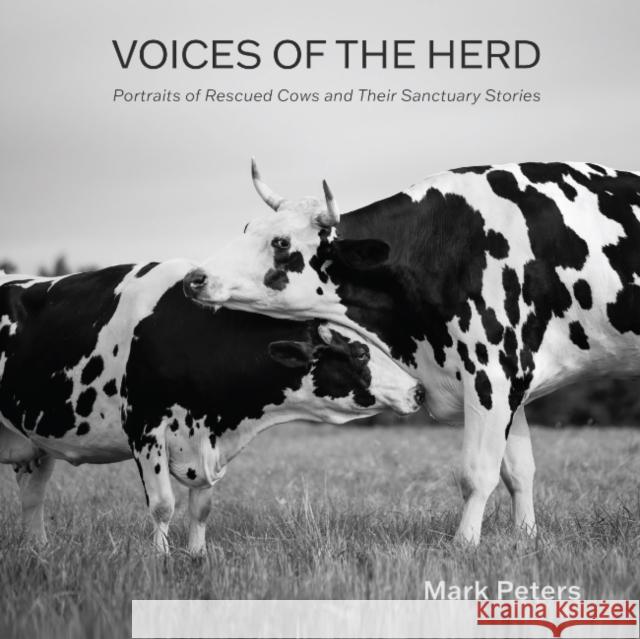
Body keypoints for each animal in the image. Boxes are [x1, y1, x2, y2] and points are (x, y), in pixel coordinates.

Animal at [0, 260, 424, 554]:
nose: (418, 391)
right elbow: (163, 505)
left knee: (32, 497)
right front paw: (160, 558)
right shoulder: (144, 427)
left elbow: (201, 508)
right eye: (360, 352)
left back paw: (38, 549)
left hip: (35, 446)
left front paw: (197, 556)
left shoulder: (208, 440)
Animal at [184, 160, 640, 545]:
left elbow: (477, 473)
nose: (194, 278)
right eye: (247, 226)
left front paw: (464, 546)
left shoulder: (493, 371)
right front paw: (526, 540)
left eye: (281, 242)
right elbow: (519, 471)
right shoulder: (511, 383)